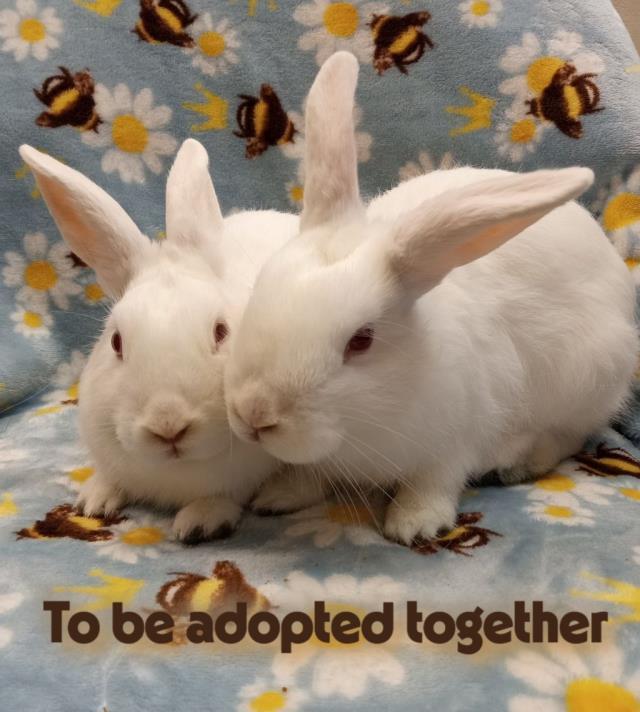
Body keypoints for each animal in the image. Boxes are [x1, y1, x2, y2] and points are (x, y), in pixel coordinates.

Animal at [20, 139, 297, 544]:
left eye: (222, 331)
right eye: (116, 342)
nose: (168, 426)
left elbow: (225, 496)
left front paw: (201, 519)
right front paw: (93, 500)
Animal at [223, 52, 639, 546]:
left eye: (361, 341)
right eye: (258, 293)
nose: (254, 413)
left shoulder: (456, 441)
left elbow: (434, 482)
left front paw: (414, 523)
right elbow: (311, 475)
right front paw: (279, 495)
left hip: (591, 378)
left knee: (570, 435)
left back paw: (518, 463)